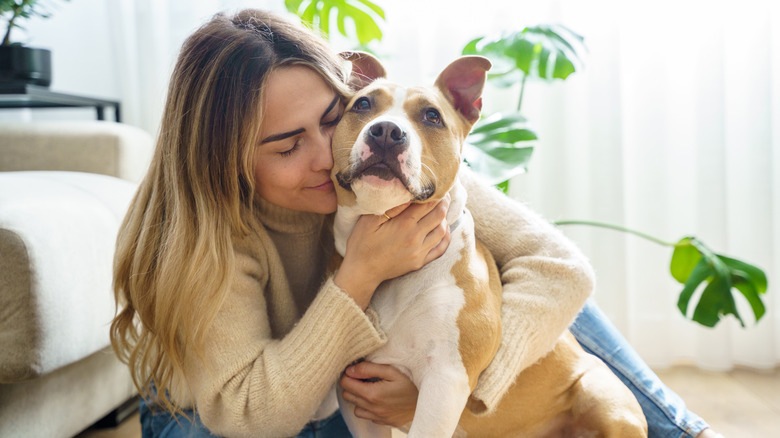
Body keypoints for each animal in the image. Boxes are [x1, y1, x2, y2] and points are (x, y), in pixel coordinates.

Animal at [330, 52, 644, 438]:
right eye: (363, 104)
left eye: (431, 116)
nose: (387, 131)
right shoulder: (355, 392)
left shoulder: (446, 381)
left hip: (600, 397)